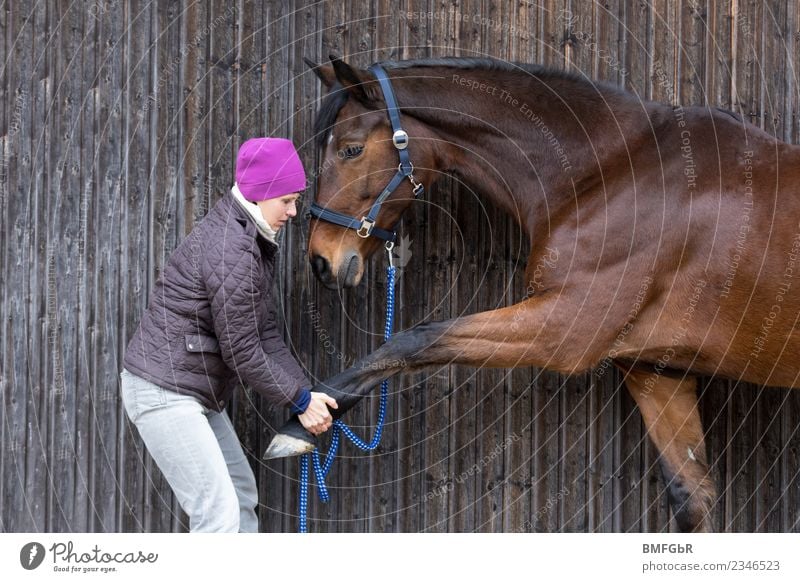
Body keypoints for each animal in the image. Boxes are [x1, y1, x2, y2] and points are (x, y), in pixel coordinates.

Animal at [266, 56, 800, 532]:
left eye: (351, 149)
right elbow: (692, 498)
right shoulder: (656, 369)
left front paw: (298, 426)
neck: (611, 175)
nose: (321, 260)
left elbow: (415, 340)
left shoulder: (564, 331)